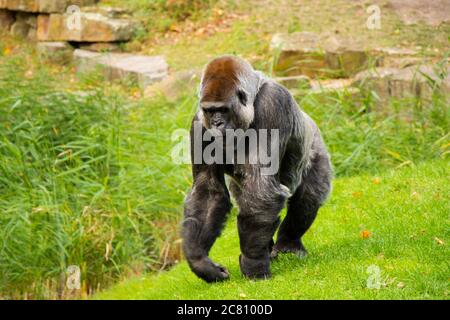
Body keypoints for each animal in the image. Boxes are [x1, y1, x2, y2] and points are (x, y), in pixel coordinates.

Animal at [181, 55, 332, 282]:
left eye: (223, 110)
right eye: (209, 110)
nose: (216, 124)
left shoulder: (272, 103)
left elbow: (262, 187)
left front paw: (253, 263)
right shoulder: (199, 124)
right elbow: (207, 192)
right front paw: (200, 262)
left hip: (315, 147)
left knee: (307, 199)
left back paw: (288, 245)